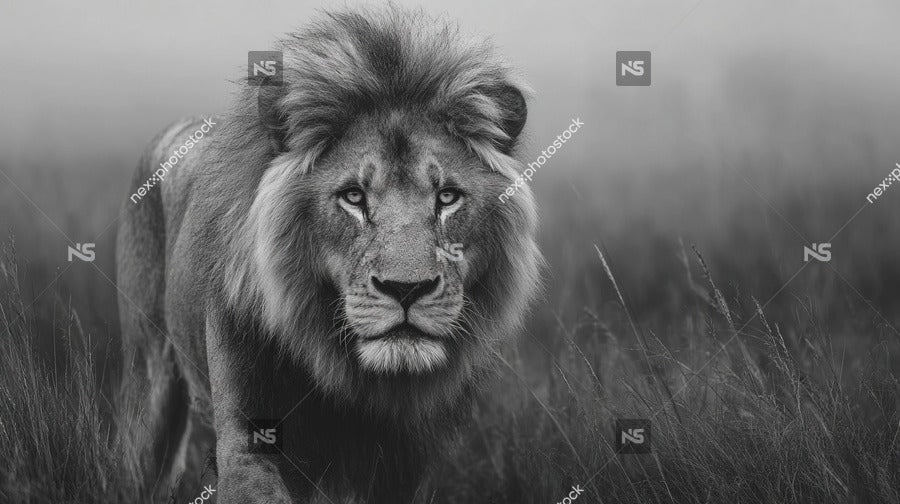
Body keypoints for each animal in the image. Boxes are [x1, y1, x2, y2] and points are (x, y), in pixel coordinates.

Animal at [116, 6, 541, 503]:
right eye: (353, 196)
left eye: (448, 197)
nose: (406, 289)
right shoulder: (246, 439)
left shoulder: (402, 468)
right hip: (149, 384)